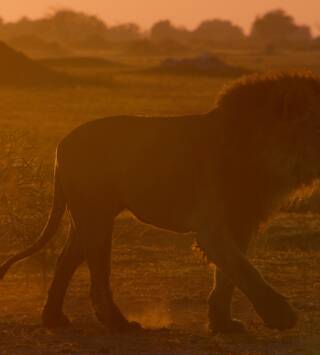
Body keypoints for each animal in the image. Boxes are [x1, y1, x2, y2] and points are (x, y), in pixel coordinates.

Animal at [0, 71, 320, 334]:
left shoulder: (242, 219)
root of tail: (61, 144)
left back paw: (54, 318)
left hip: (86, 216)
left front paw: (223, 323)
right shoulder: (212, 225)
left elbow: (229, 274)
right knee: (99, 269)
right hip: (95, 214)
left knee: (67, 259)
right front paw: (281, 317)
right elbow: (243, 269)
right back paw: (118, 323)